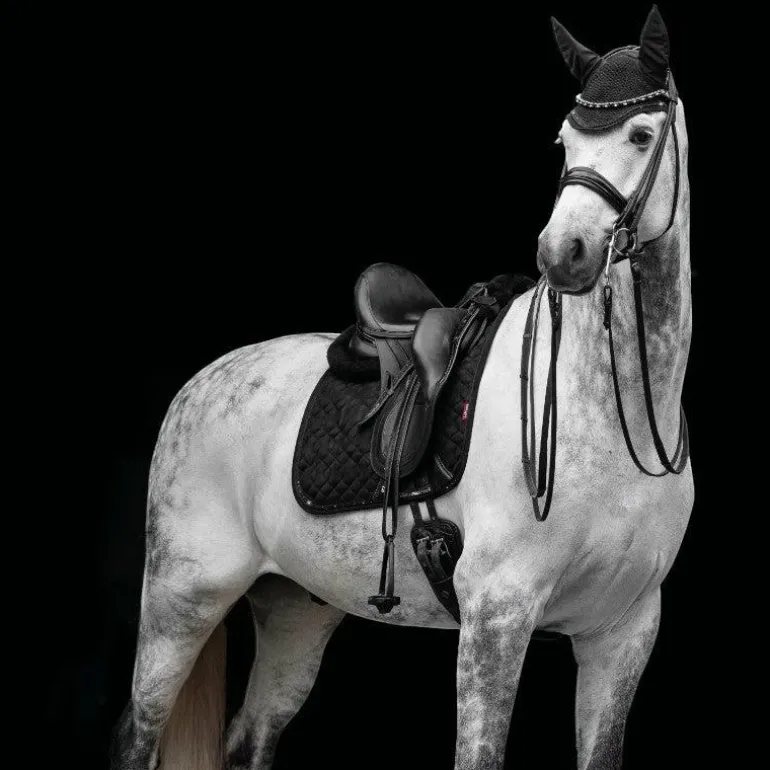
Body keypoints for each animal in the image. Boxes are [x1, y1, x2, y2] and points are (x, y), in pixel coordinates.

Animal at [112, 7, 693, 769]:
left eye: (640, 135)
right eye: (563, 141)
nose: (562, 255)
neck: (607, 415)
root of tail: (196, 387)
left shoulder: (623, 633)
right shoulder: (497, 618)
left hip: (295, 608)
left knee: (250, 740)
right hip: (182, 598)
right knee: (137, 735)